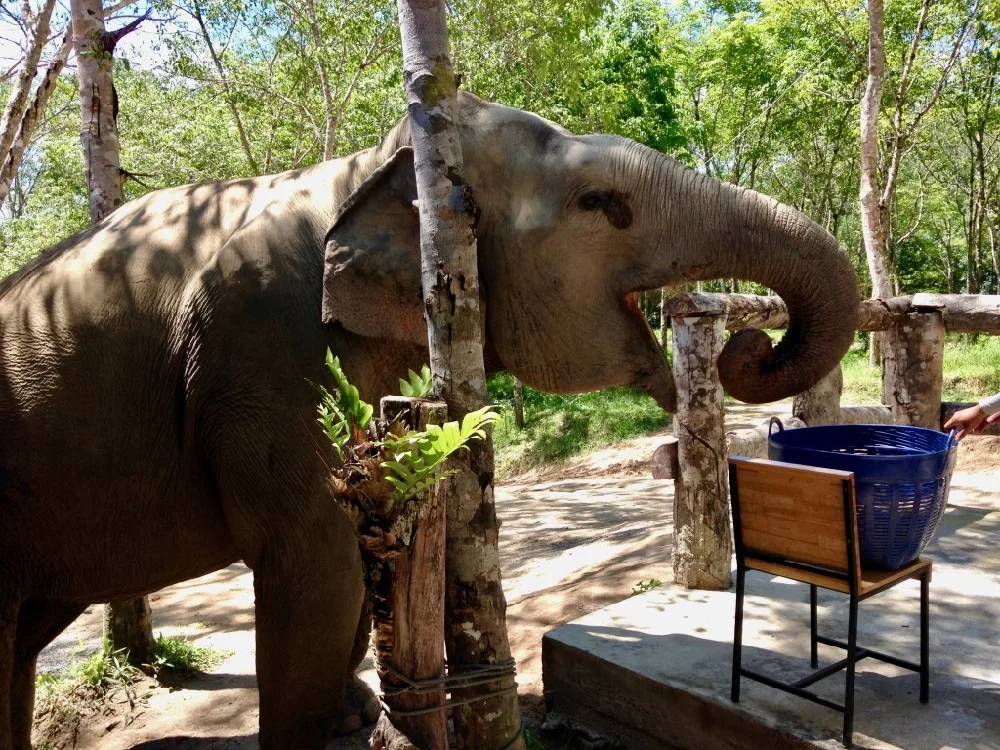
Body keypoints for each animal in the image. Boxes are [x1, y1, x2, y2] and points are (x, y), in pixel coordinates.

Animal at [0, 91, 859, 749]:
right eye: (599, 204)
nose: (750, 340)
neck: (368, 169)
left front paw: (356, 717)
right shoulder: (265, 350)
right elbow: (316, 558)